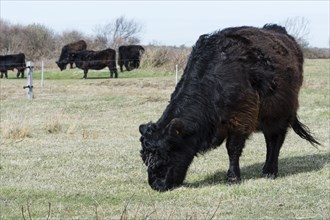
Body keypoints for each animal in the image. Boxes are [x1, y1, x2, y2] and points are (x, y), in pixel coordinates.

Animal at [139, 24, 320, 192]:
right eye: (145, 159)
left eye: (167, 152)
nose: (156, 185)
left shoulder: (240, 118)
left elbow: (233, 149)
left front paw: (233, 177)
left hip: (279, 114)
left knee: (274, 141)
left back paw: (270, 171)